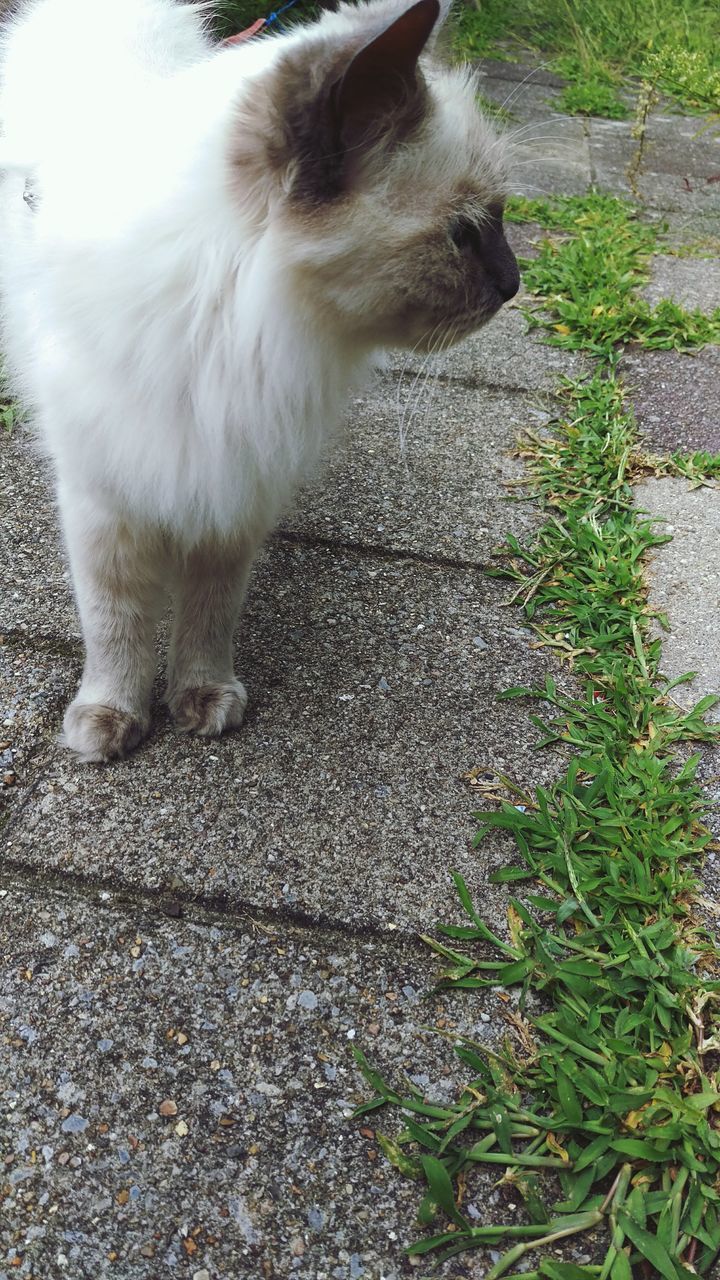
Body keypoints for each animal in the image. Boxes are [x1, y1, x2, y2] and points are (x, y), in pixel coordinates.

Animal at [0, 0, 515, 757]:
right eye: (465, 232)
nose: (514, 285)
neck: (226, 338)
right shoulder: (106, 501)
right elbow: (114, 624)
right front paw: (111, 719)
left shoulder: (236, 485)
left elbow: (209, 614)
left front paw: (203, 700)